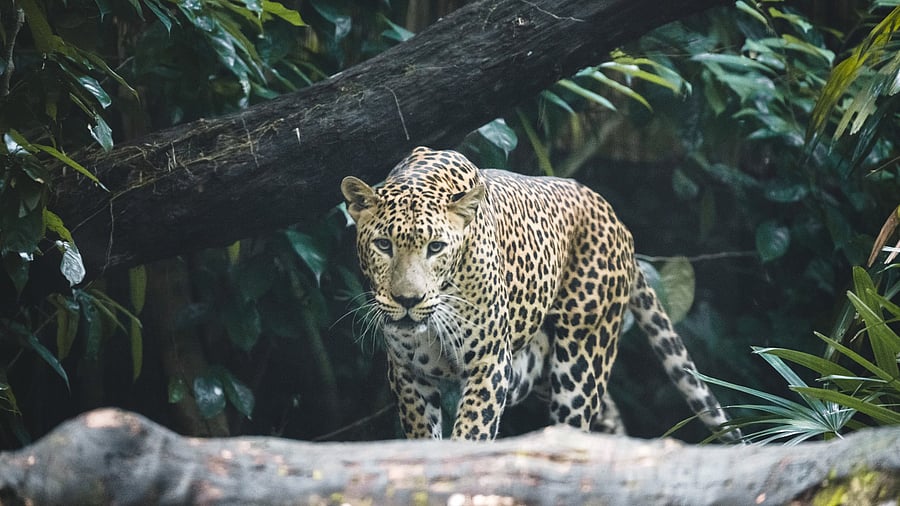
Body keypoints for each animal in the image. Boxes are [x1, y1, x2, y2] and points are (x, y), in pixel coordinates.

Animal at [341, 146, 738, 442]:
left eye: (436, 247)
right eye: (383, 245)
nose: (408, 300)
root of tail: (616, 220)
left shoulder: (489, 364)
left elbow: (471, 433)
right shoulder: (408, 373)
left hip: (580, 364)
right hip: (539, 368)